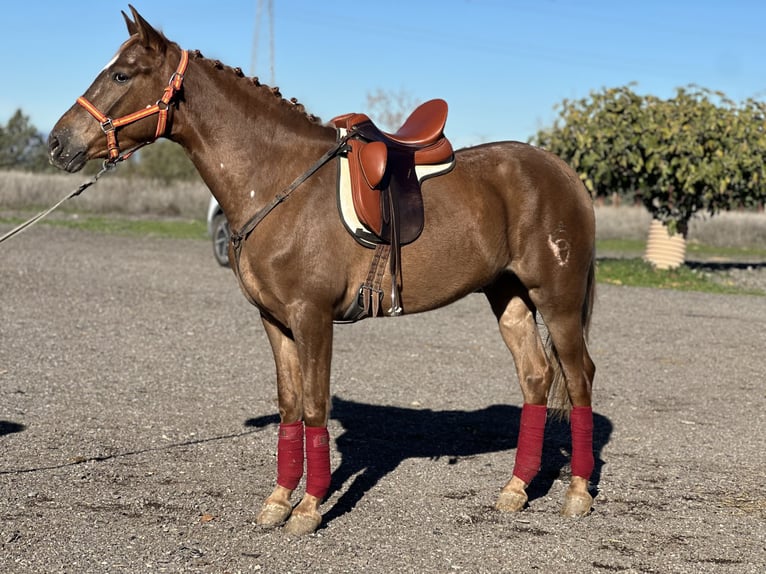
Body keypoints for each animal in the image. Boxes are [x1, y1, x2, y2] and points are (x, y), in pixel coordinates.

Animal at [48, 5, 600, 536]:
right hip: (508, 296)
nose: (57, 143)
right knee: (535, 376)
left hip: (557, 299)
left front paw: (309, 509)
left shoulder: (311, 316)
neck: (281, 181)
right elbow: (290, 407)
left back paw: (576, 494)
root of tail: (563, 171)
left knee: (578, 378)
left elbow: (315, 407)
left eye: (121, 74)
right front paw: (277, 502)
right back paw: (516, 490)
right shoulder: (274, 320)